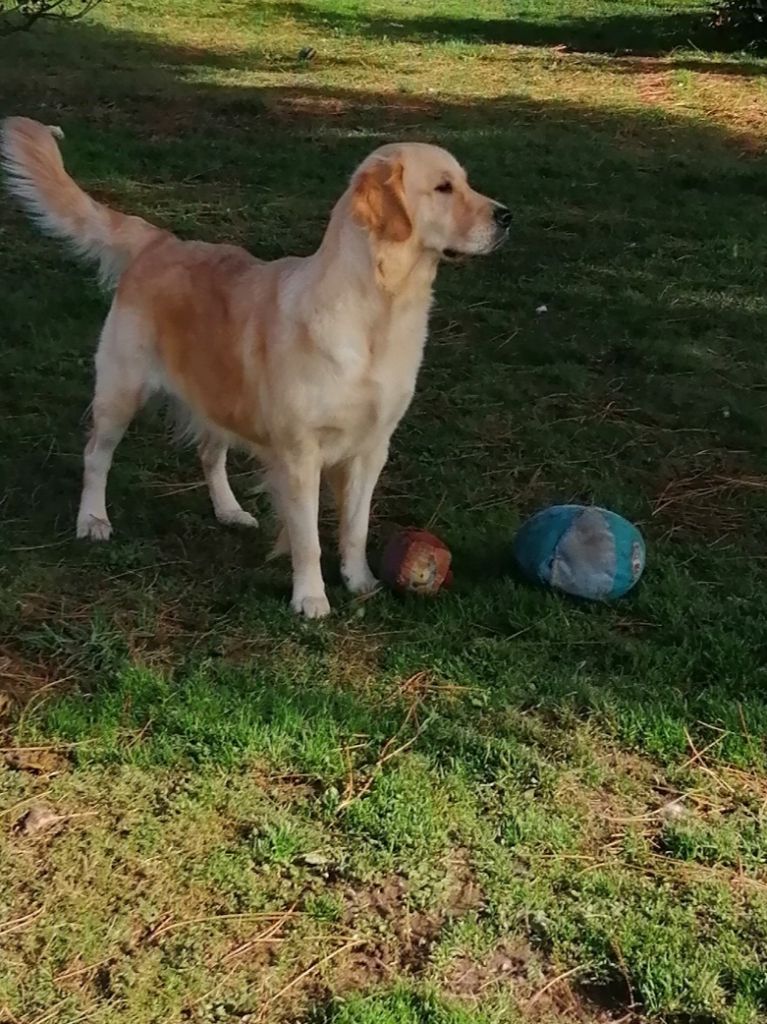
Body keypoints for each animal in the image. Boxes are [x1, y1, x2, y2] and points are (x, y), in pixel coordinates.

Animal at [4, 117, 507, 614]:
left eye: (466, 182)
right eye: (443, 188)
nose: (507, 216)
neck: (379, 311)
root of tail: (160, 241)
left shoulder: (372, 448)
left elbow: (355, 528)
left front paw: (359, 581)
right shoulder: (301, 453)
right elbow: (308, 539)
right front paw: (311, 598)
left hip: (218, 397)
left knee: (209, 454)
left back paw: (228, 511)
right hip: (120, 392)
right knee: (96, 455)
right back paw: (92, 520)